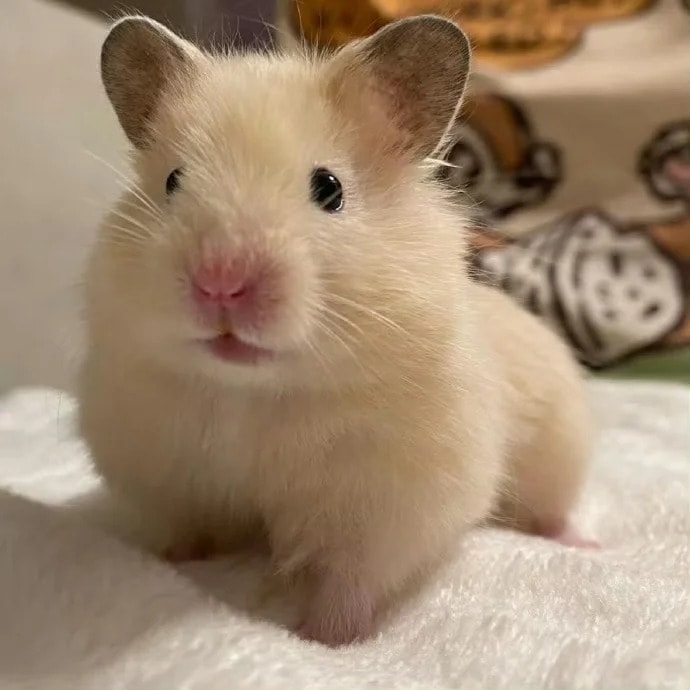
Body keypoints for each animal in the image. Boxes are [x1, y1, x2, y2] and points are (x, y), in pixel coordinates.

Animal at [78, 14, 594, 647]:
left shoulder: (395, 501)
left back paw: (583, 543)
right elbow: (177, 537)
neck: (253, 393)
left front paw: (323, 638)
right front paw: (163, 570)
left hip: (560, 448)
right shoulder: (152, 467)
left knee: (555, 511)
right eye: (173, 182)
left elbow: (352, 581)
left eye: (329, 189)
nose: (221, 283)